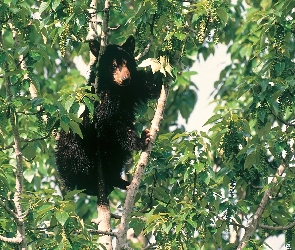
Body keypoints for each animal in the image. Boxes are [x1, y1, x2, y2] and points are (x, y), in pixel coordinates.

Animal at [55, 36, 162, 196]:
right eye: (113, 65)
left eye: (126, 63)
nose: (125, 79)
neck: (116, 89)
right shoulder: (101, 101)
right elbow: (111, 123)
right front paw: (141, 139)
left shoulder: (133, 87)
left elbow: (148, 84)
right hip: (71, 147)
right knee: (76, 152)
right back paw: (91, 184)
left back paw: (118, 181)